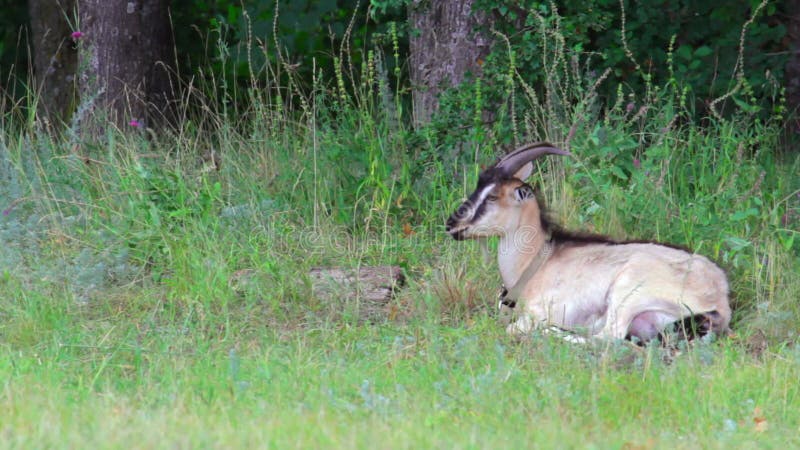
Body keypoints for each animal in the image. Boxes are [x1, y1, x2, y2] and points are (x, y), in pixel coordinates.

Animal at [444, 142, 732, 342]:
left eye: (493, 196)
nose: (452, 224)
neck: (537, 261)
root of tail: (720, 299)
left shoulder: (538, 311)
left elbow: (513, 329)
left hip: (628, 292)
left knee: (607, 339)